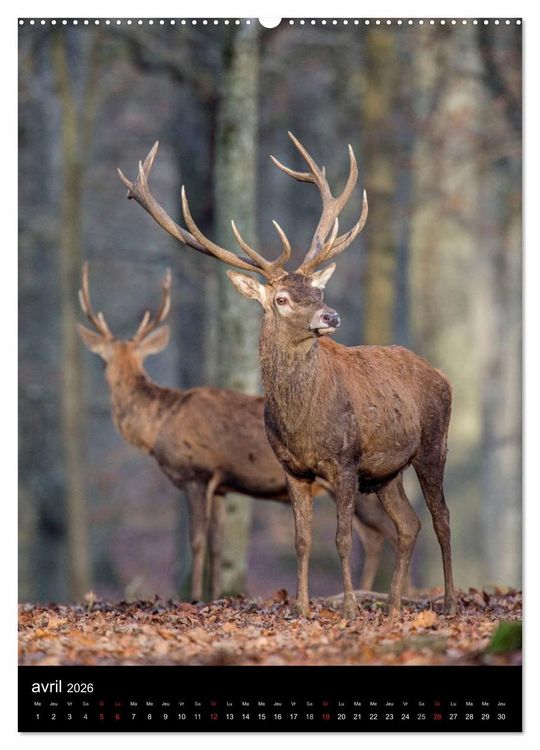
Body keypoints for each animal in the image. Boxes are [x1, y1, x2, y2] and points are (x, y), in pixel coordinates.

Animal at [77, 263, 399, 602]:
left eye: (102, 361)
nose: (106, 376)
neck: (160, 425)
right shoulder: (221, 485)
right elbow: (218, 546)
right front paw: (216, 595)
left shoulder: (196, 473)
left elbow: (197, 541)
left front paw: (194, 597)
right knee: (375, 538)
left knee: (390, 532)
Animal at [117, 135, 457, 620]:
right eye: (280, 298)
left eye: (317, 290)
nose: (330, 316)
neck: (303, 423)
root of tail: (440, 374)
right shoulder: (293, 469)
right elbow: (302, 540)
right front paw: (302, 608)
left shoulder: (345, 460)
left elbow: (342, 539)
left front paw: (349, 608)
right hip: (387, 470)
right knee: (409, 525)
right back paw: (393, 607)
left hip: (433, 444)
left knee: (442, 519)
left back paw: (447, 602)